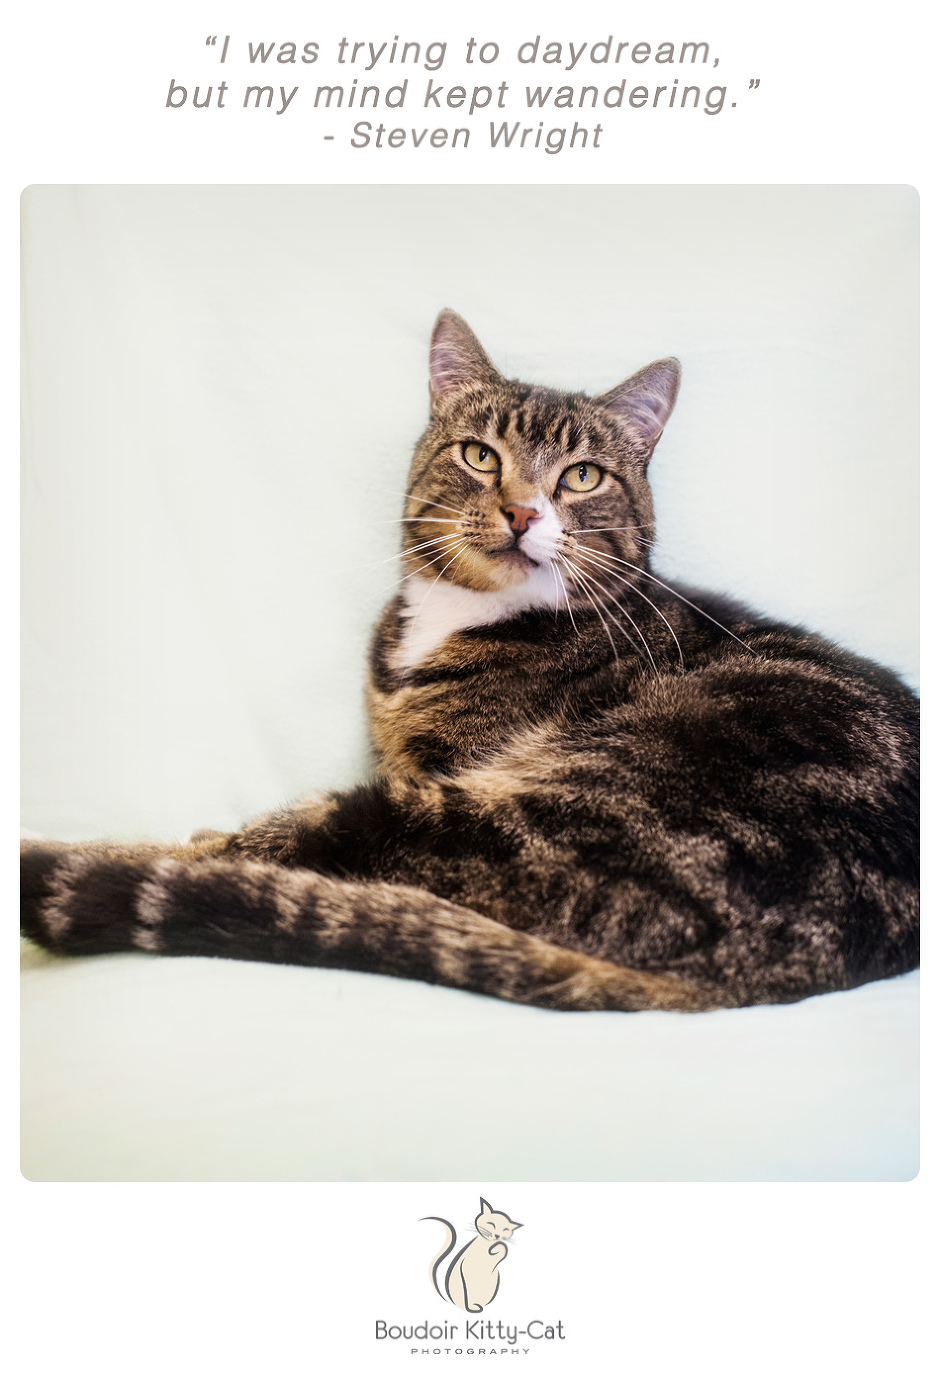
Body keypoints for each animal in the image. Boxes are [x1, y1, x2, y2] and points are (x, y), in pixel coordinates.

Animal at [18, 311, 923, 1011]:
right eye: (481, 455)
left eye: (581, 476)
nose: (523, 512)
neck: (460, 618)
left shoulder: (434, 770)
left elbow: (271, 838)